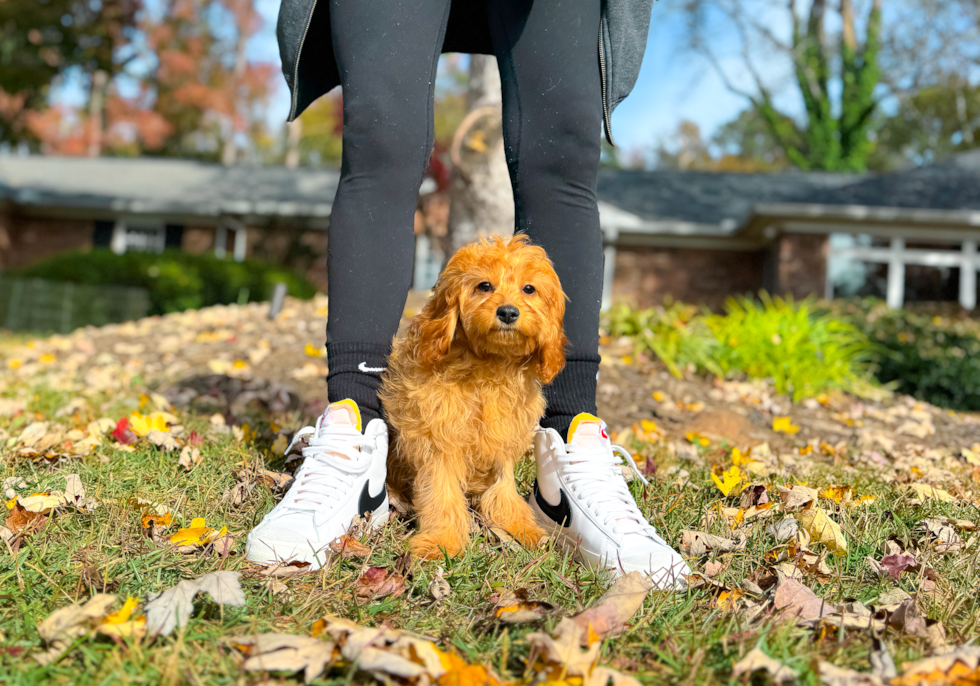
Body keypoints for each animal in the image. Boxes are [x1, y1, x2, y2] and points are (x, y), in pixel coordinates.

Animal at [380, 235, 568, 560]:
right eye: (484, 285)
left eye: (529, 289)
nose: (508, 312)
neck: (489, 368)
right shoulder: (438, 442)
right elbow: (441, 494)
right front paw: (441, 541)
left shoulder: (501, 441)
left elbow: (503, 489)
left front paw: (521, 527)